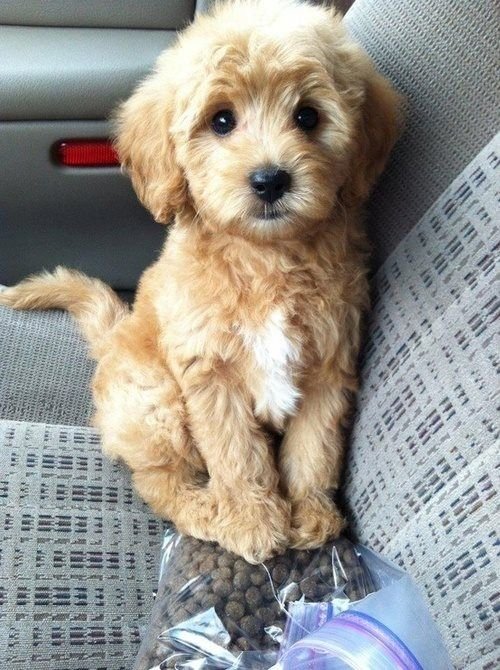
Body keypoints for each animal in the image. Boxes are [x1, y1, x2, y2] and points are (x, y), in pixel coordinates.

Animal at [0, 2, 398, 564]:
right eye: (222, 120)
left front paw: (310, 514)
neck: (265, 259)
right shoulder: (210, 372)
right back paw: (206, 509)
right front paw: (252, 519)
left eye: (308, 116)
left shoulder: (329, 365)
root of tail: (112, 339)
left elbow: (313, 447)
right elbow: (236, 452)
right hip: (155, 399)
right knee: (159, 482)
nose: (271, 180)